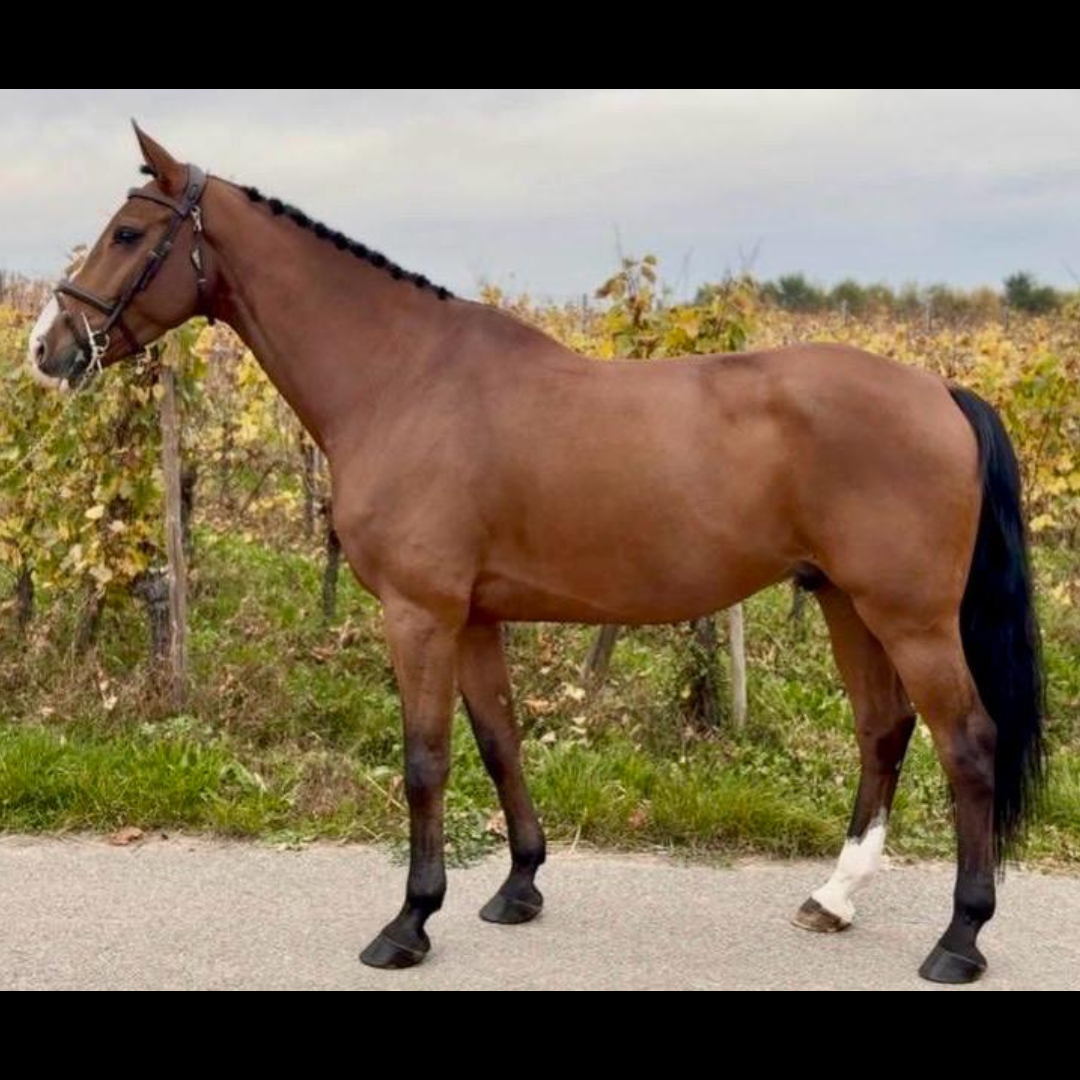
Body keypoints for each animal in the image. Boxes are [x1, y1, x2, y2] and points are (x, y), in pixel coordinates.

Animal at [28, 124, 1044, 984]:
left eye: (127, 232)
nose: (48, 347)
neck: (399, 379)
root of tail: (940, 392)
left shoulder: (420, 614)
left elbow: (425, 760)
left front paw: (409, 923)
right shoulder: (474, 616)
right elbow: (499, 741)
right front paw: (518, 887)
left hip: (910, 616)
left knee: (968, 743)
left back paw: (960, 939)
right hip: (843, 600)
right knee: (884, 731)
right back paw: (833, 898)